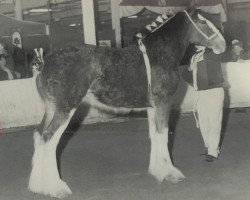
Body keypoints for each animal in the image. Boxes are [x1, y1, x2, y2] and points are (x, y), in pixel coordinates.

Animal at [28, 9, 226, 198]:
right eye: (202, 21)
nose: (222, 44)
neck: (159, 53)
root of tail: (45, 62)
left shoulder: (152, 107)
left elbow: (155, 135)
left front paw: (157, 171)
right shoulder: (164, 102)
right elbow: (163, 135)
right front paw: (171, 173)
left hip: (51, 109)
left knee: (39, 135)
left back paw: (38, 186)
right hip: (65, 109)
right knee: (49, 139)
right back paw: (56, 188)